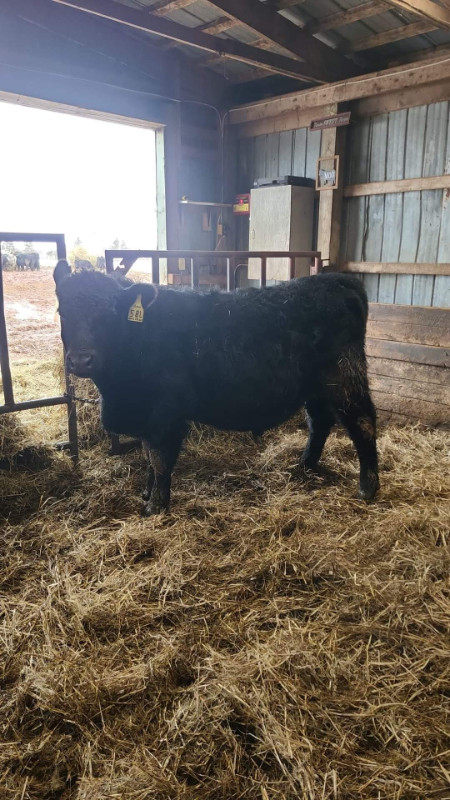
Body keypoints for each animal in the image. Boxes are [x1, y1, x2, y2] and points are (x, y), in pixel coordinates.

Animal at [55, 260, 380, 516]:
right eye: (62, 311)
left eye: (109, 312)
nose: (81, 360)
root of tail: (338, 280)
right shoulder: (146, 415)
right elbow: (147, 457)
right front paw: (147, 494)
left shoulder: (164, 415)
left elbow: (159, 460)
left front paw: (155, 506)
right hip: (316, 387)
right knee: (320, 422)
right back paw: (304, 466)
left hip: (344, 376)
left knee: (363, 422)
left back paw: (368, 487)